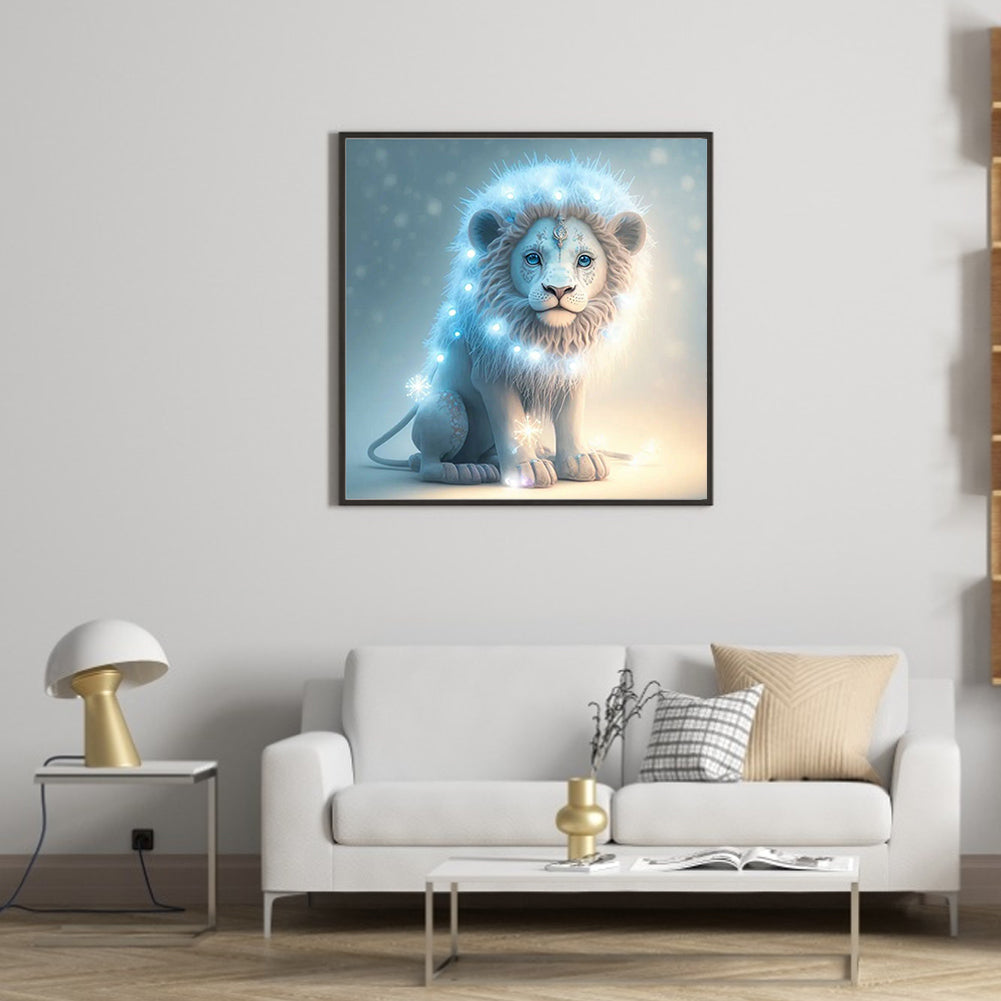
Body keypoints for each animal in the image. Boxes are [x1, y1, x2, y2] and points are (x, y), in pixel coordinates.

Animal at [367, 157, 650, 488]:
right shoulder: (492, 373)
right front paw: (528, 469)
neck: (546, 337)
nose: (559, 290)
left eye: (584, 260)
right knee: (429, 464)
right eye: (532, 258)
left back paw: (507, 460)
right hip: (444, 404)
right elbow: (511, 421)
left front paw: (579, 461)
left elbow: (570, 417)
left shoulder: (569, 367)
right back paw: (465, 471)